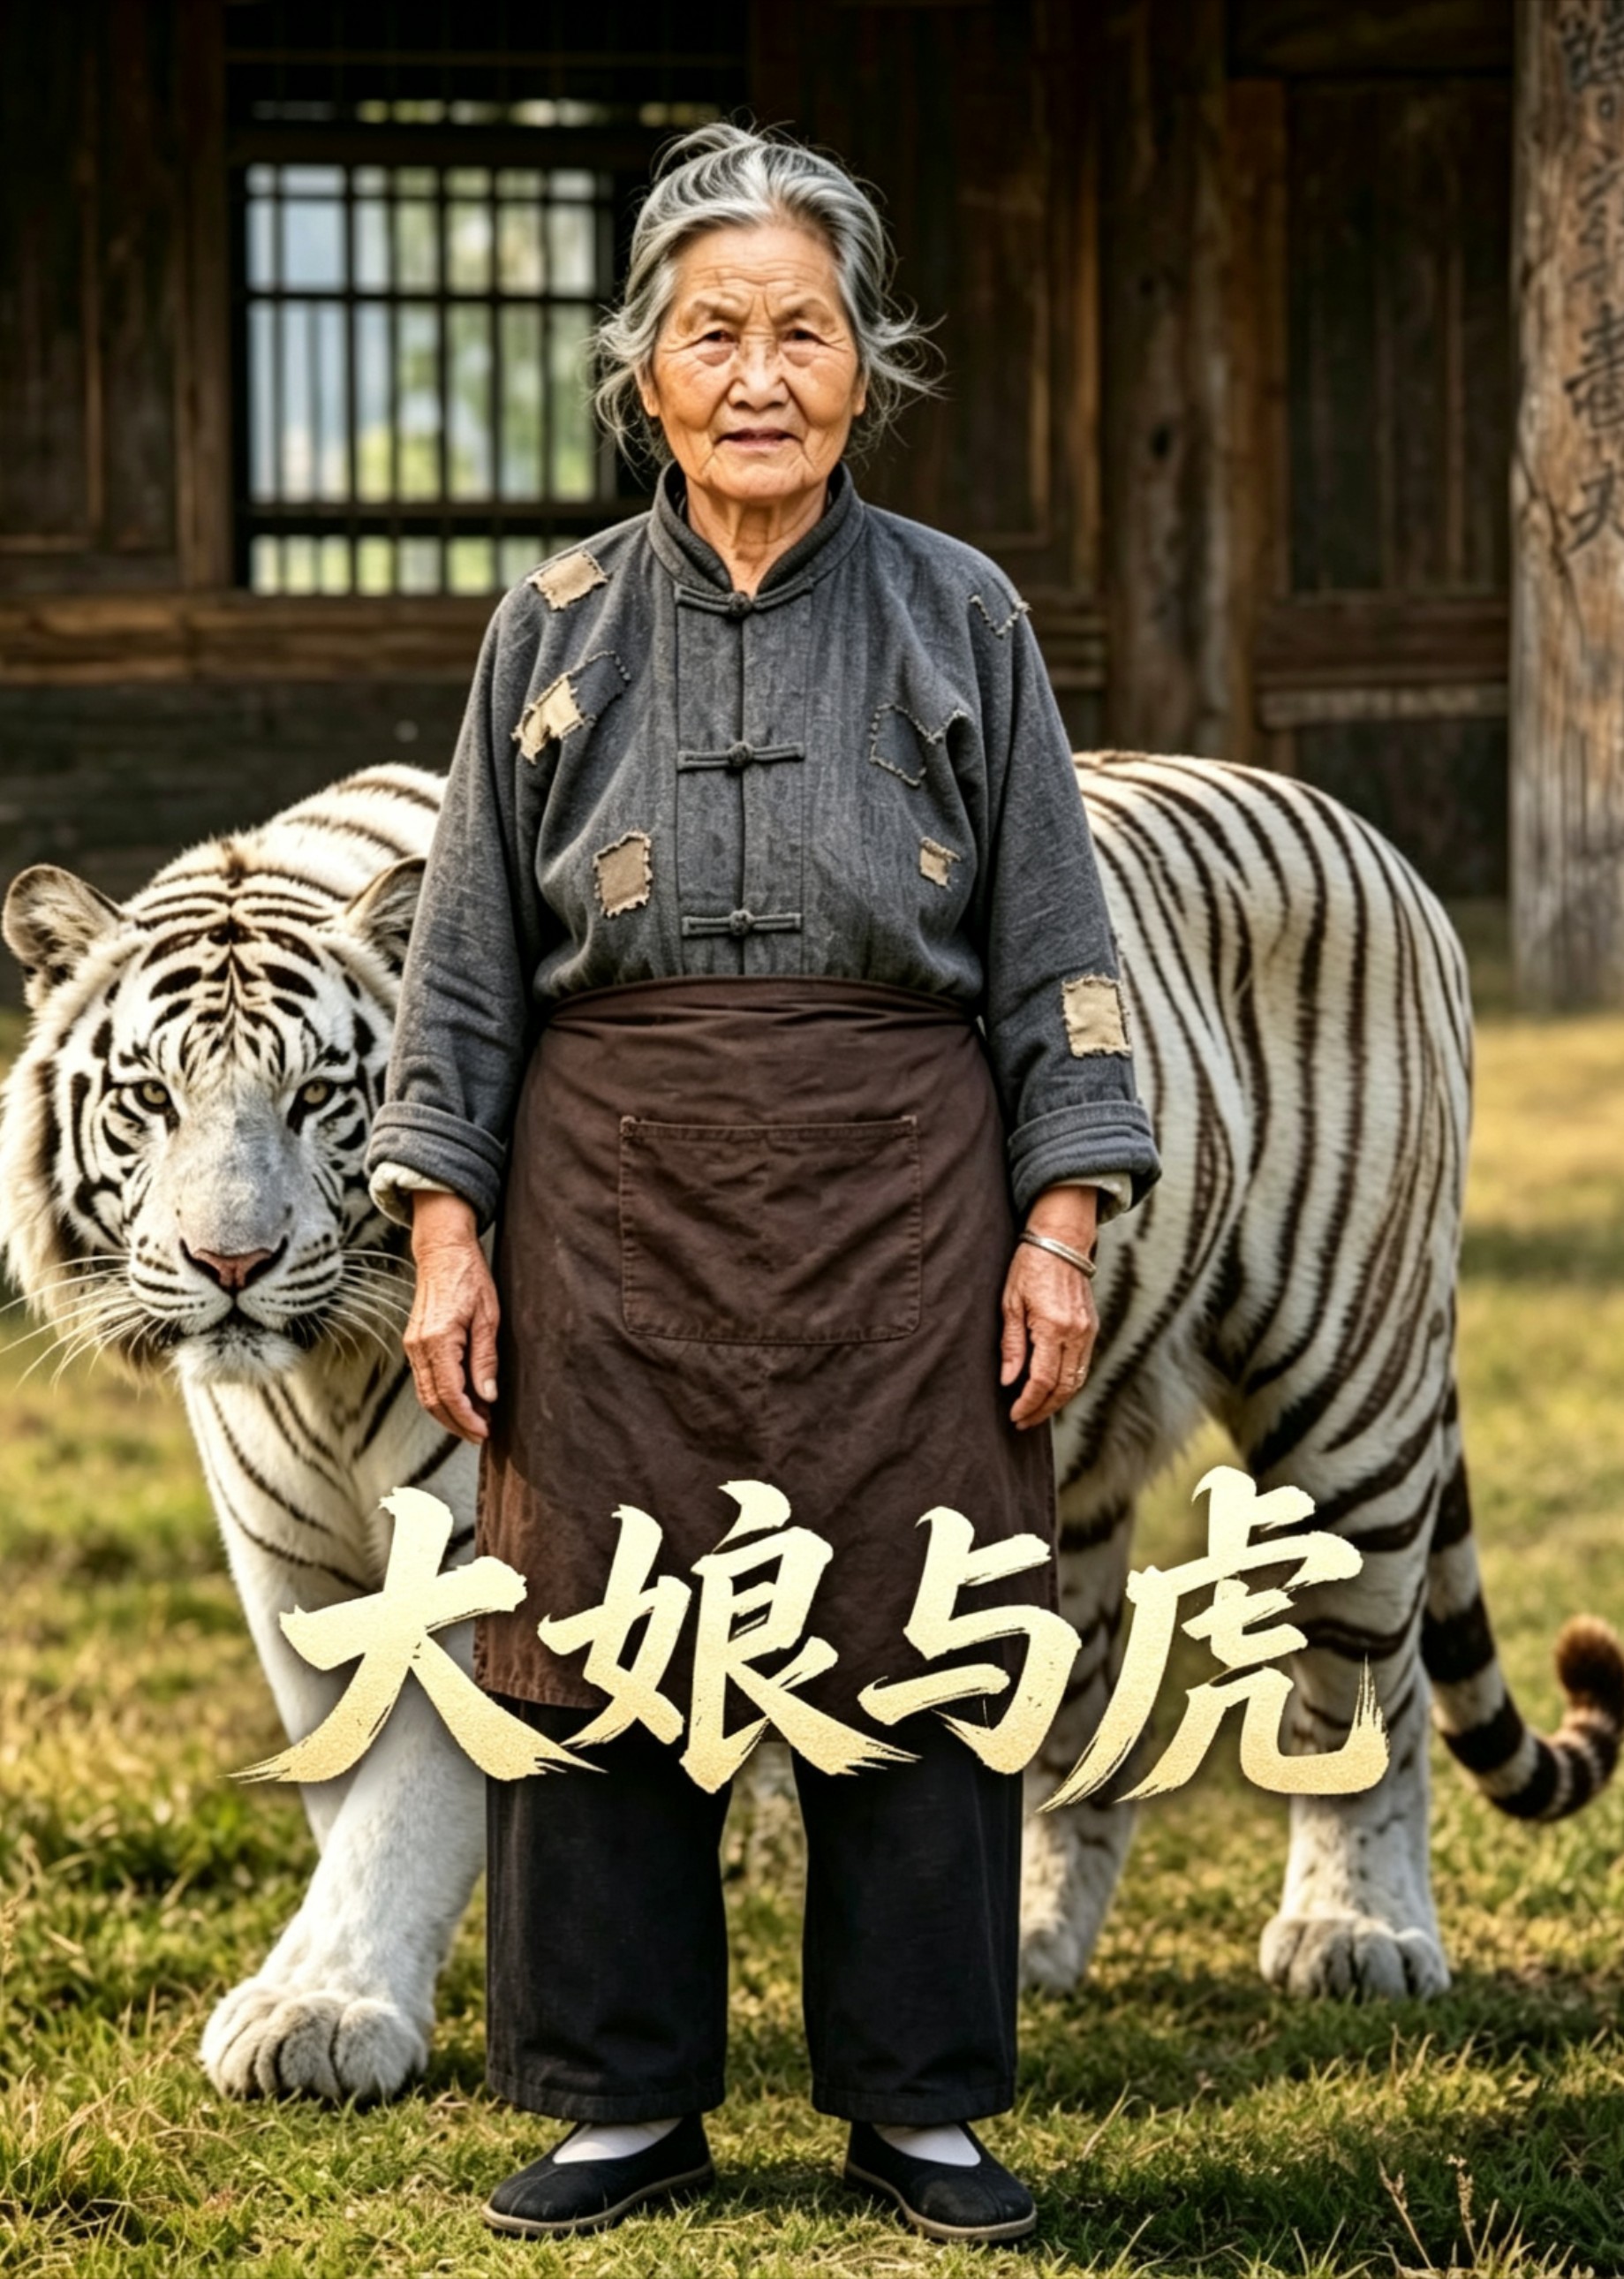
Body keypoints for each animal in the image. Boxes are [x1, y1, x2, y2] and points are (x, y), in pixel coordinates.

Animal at [0, 752, 1617, 2106]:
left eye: (323, 1099)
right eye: (148, 1103)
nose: (231, 1264)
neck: (319, 1371)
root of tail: (1361, 827)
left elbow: (417, 1788)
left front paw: (322, 2014)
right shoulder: (290, 1567)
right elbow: (353, 1781)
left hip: (1350, 1386)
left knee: (1367, 1686)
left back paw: (1356, 1935)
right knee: (1073, 1696)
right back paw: (1023, 1944)